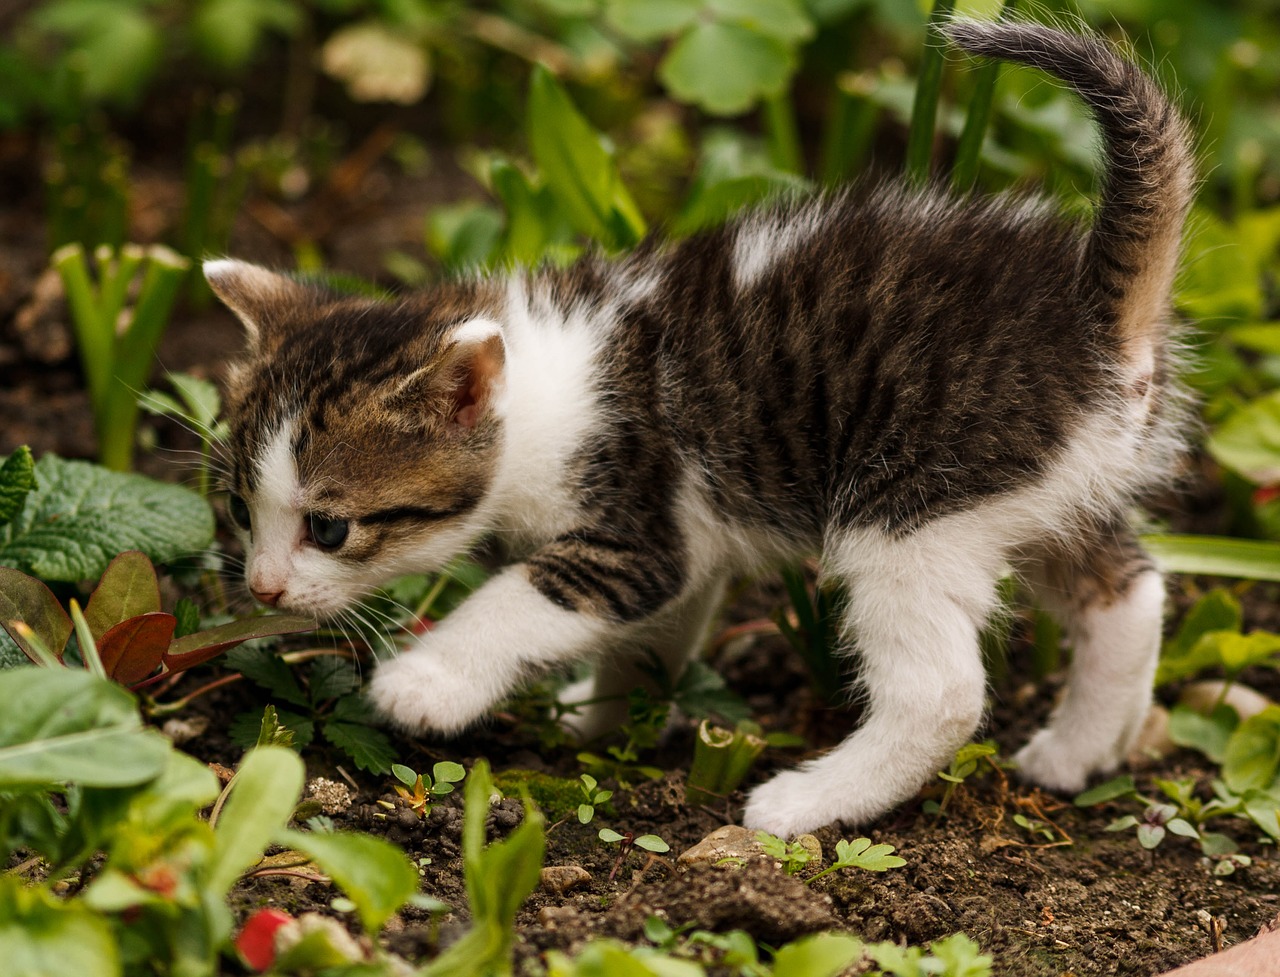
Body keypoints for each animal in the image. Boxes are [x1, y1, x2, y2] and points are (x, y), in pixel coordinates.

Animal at [204, 19, 1192, 834]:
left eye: (330, 526)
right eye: (237, 509)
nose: (262, 590)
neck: (548, 385)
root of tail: (1096, 315)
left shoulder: (633, 527)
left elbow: (519, 599)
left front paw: (427, 684)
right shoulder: (689, 546)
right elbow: (653, 632)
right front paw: (606, 714)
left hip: (913, 503)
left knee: (942, 692)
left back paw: (807, 802)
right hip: (1042, 489)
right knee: (1131, 591)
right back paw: (1077, 750)